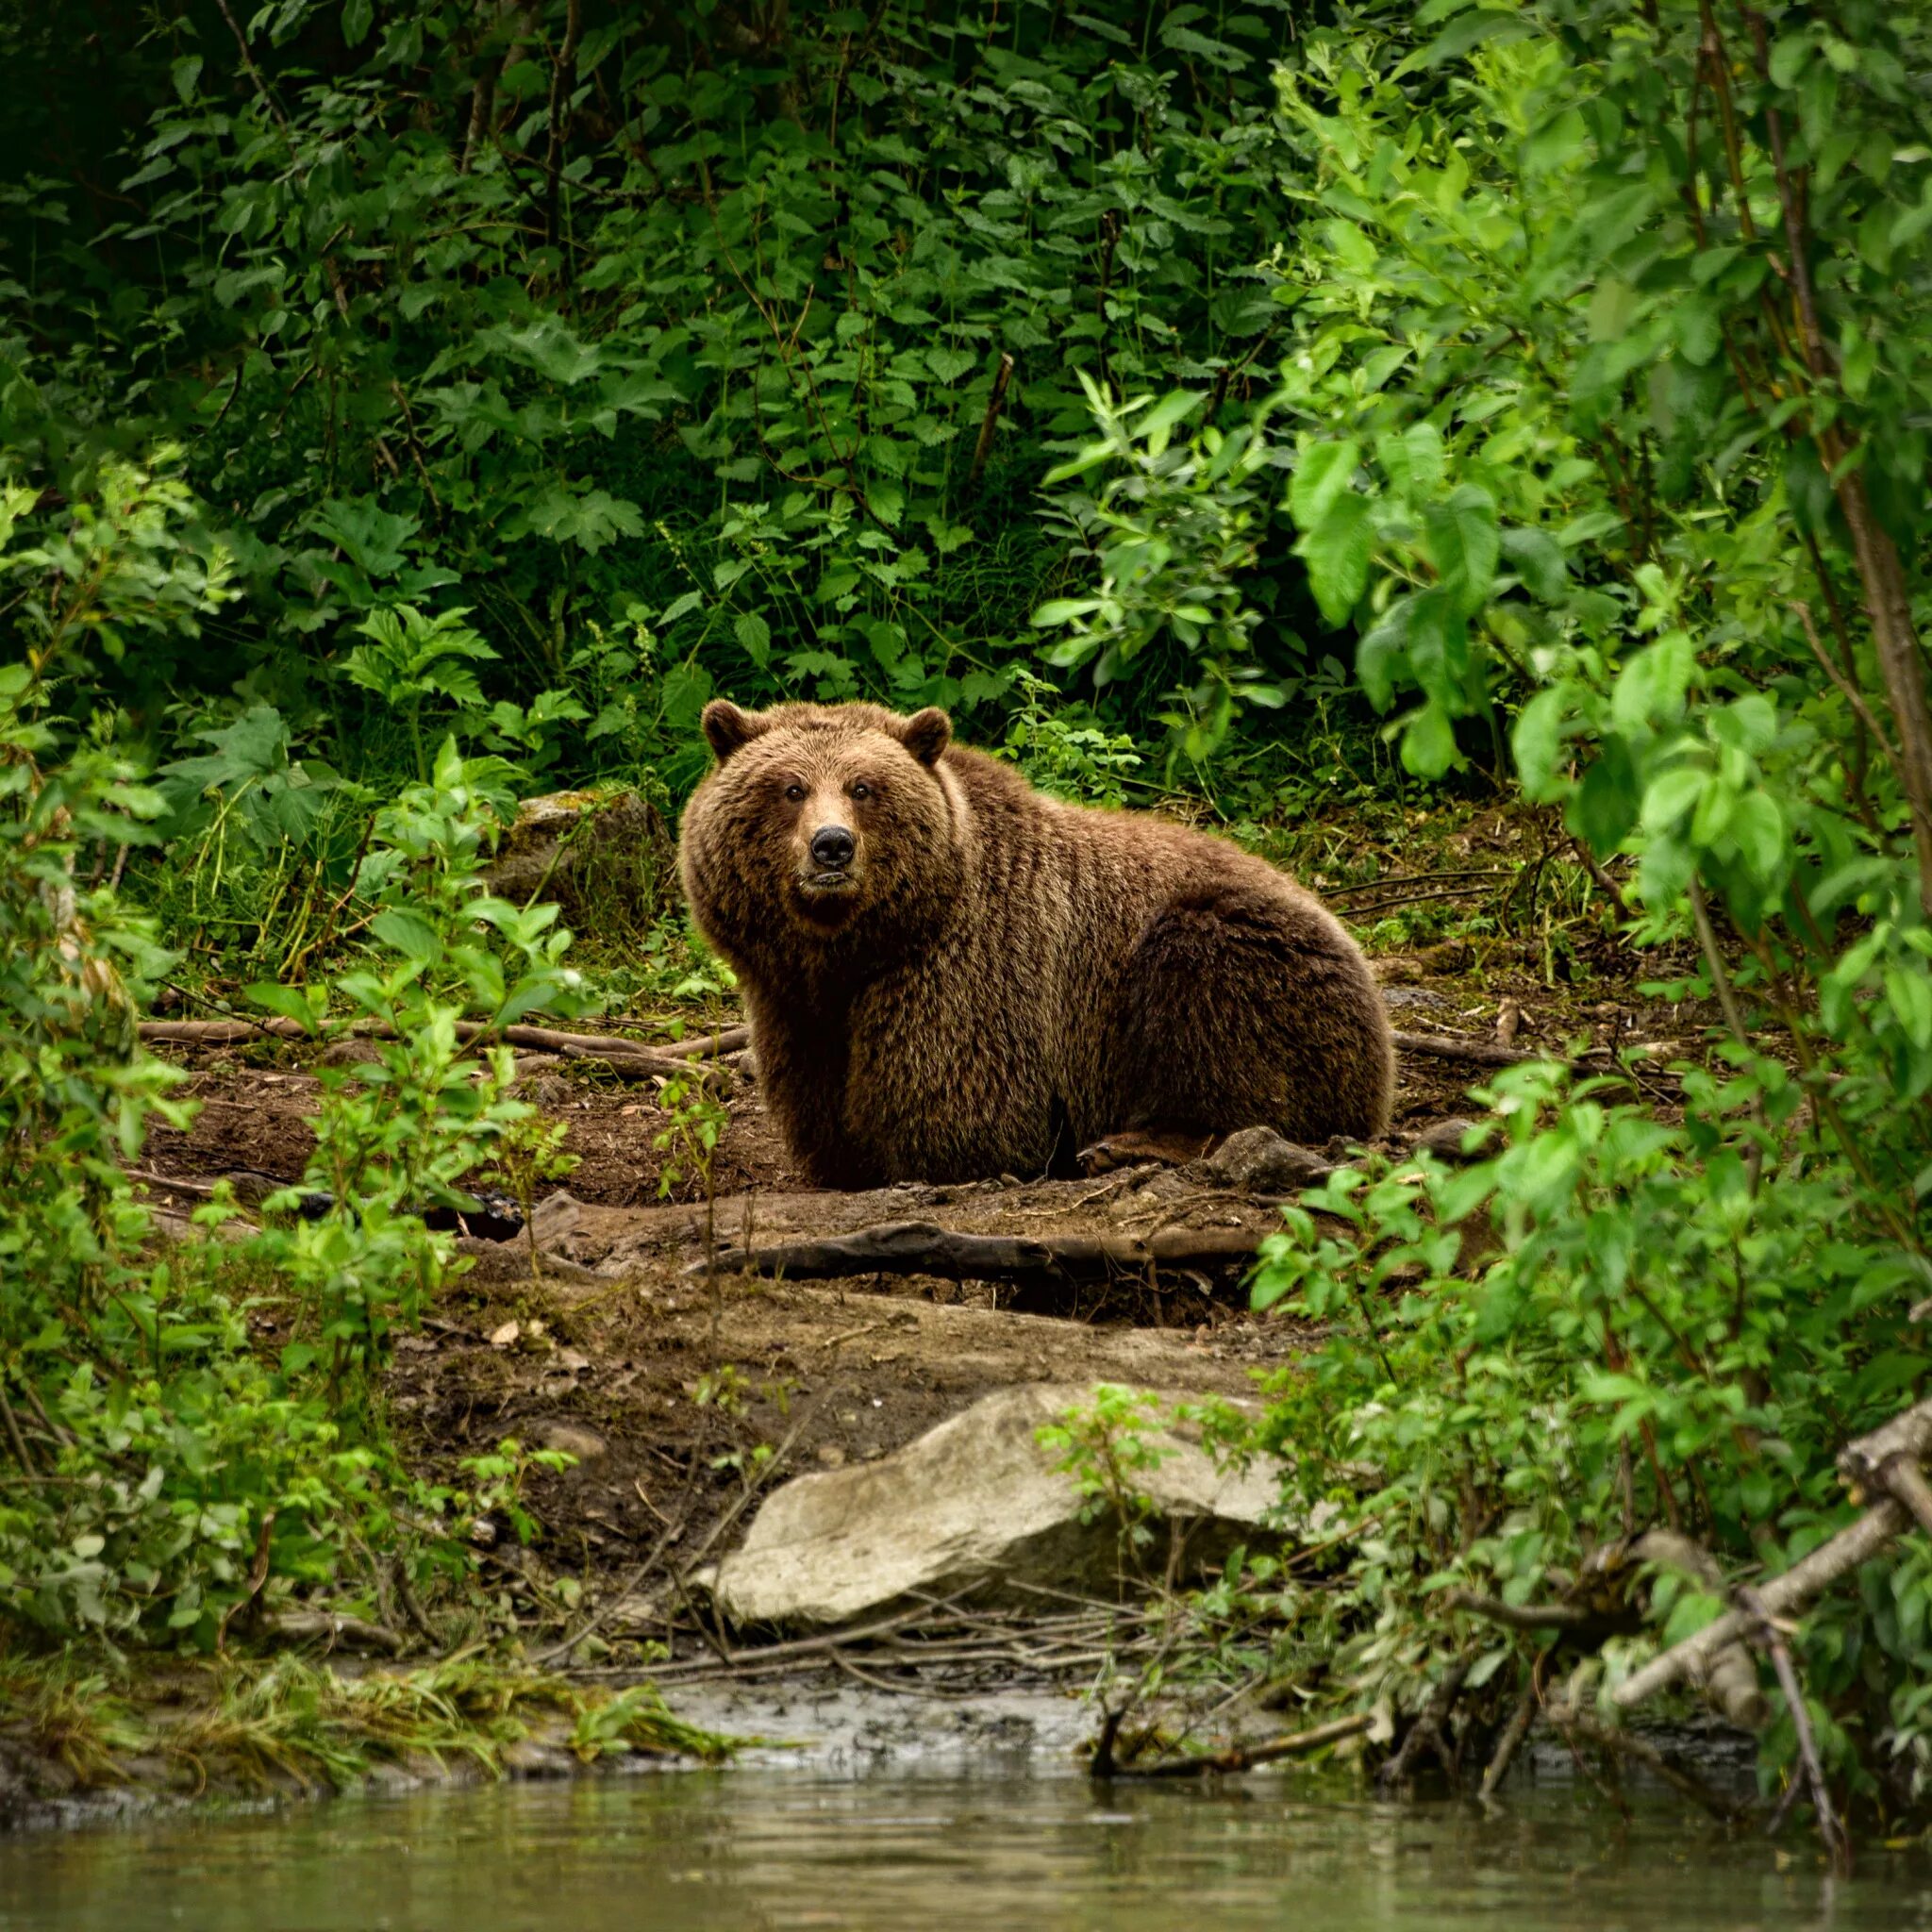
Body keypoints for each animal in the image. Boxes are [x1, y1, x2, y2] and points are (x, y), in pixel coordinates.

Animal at [675, 703, 1391, 1182]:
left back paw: (1129, 1143)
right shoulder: (792, 1000)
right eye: (791, 788)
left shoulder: (970, 971)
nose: (832, 846)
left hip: (1249, 955)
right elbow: (817, 1097)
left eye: (863, 787)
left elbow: (960, 1105)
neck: (857, 947)